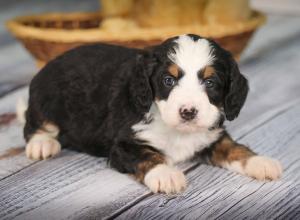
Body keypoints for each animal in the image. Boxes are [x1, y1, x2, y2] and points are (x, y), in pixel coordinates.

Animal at [23, 34, 282, 194]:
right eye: (168, 80)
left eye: (210, 83)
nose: (188, 112)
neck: (175, 131)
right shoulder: (124, 145)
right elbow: (148, 155)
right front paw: (166, 174)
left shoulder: (211, 136)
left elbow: (233, 148)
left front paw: (260, 162)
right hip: (46, 97)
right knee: (34, 122)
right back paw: (42, 144)